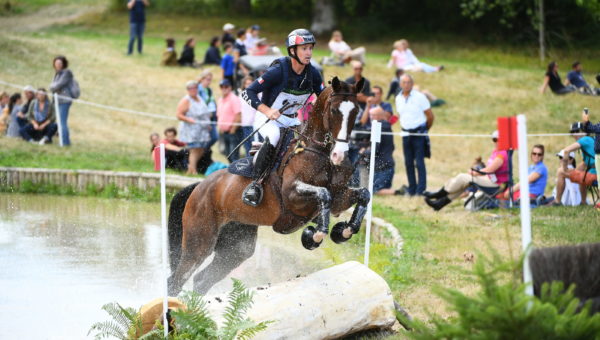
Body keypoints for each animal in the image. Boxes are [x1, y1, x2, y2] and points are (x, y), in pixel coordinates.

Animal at [168, 76, 370, 294]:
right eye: (333, 110)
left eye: (356, 111)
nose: (339, 155)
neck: (317, 152)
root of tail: (198, 188)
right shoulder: (293, 198)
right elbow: (324, 194)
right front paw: (315, 235)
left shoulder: (339, 197)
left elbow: (362, 194)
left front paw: (345, 230)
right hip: (199, 241)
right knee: (177, 279)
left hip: (237, 244)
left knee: (202, 279)